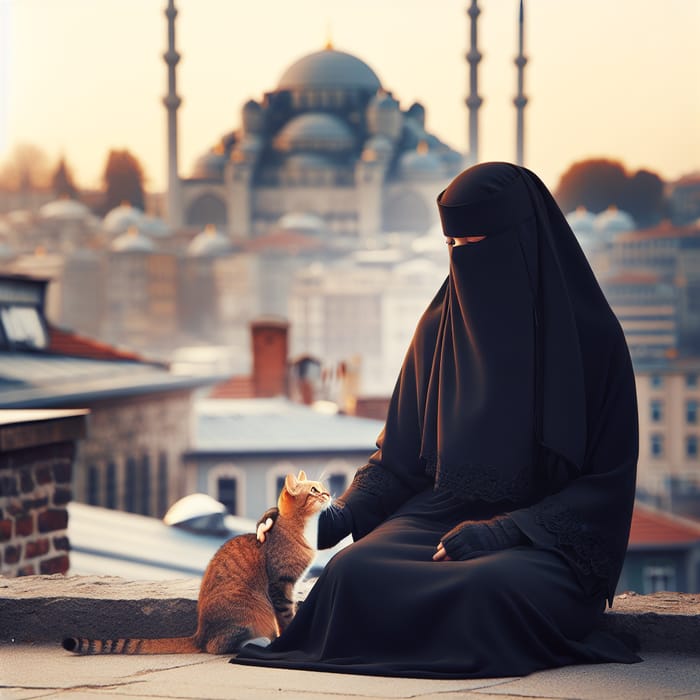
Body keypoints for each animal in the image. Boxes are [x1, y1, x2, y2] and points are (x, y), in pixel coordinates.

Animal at [63, 470, 330, 656]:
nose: (328, 494)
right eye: (314, 490)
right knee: (217, 646)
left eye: (323, 488)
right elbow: (286, 617)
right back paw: (260, 642)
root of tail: (198, 634)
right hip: (252, 611)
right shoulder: (281, 584)